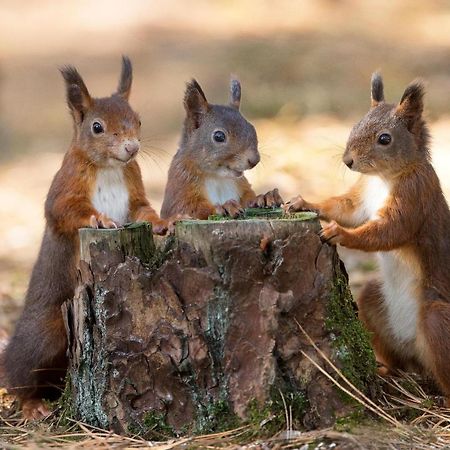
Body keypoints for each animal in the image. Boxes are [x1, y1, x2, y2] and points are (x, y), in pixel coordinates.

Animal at [2, 58, 167, 420]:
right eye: (97, 127)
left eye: (138, 120)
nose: (132, 148)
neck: (109, 168)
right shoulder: (65, 189)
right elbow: (65, 211)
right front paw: (100, 219)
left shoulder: (135, 193)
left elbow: (144, 211)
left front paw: (163, 223)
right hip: (46, 334)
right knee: (20, 378)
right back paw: (32, 404)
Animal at [160, 78, 284, 219]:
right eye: (219, 136)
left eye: (252, 128)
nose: (254, 160)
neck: (217, 177)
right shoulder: (180, 187)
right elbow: (187, 209)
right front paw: (226, 206)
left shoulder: (242, 186)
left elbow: (248, 199)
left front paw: (265, 197)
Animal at [284, 74, 450, 404]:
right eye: (355, 125)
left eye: (385, 139)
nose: (348, 161)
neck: (383, 178)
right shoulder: (361, 199)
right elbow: (344, 208)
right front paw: (304, 202)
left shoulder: (415, 196)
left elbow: (388, 231)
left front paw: (339, 233)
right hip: (374, 301)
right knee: (400, 361)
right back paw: (388, 372)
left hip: (437, 320)